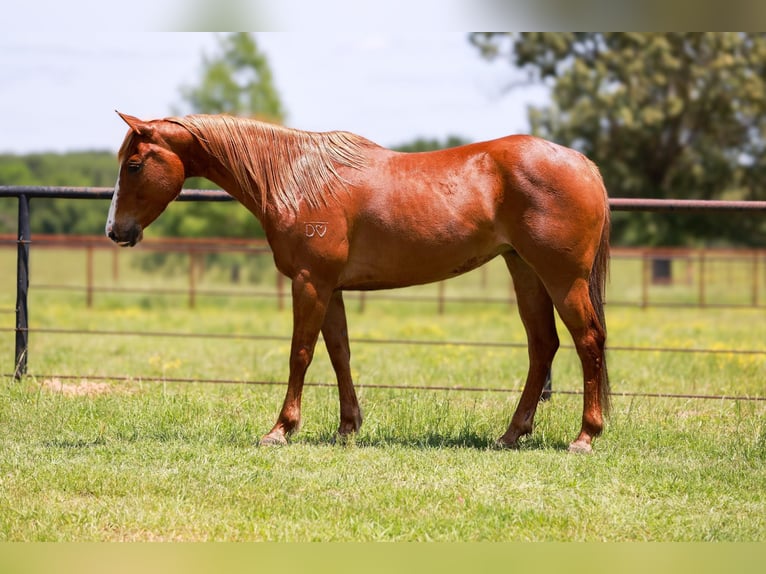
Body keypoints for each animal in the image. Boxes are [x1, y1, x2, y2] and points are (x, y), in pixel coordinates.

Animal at [106, 111, 611, 453]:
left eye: (134, 165)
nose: (115, 231)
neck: (296, 176)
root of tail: (584, 163)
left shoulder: (310, 283)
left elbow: (301, 354)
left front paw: (280, 429)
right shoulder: (329, 288)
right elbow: (339, 354)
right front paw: (348, 428)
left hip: (563, 278)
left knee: (587, 340)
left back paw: (586, 435)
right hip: (525, 271)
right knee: (542, 346)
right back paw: (511, 434)